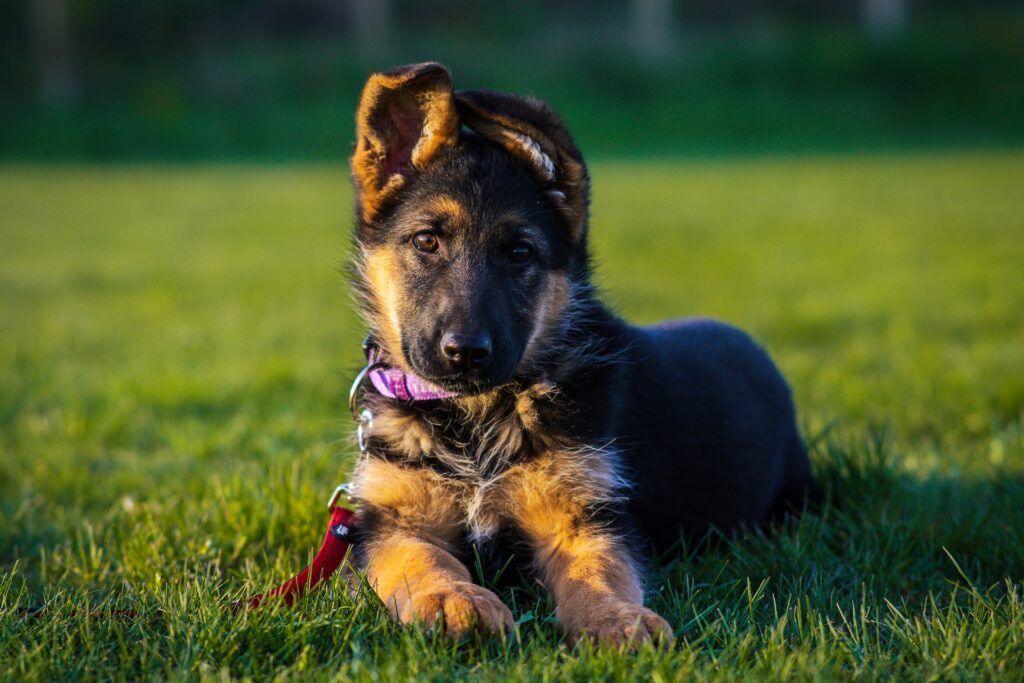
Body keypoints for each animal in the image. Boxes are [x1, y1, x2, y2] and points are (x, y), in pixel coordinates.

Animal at [348, 62, 819, 647]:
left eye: (520, 253)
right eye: (426, 242)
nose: (465, 354)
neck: (478, 418)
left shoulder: (584, 514)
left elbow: (597, 571)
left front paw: (615, 619)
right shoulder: (393, 521)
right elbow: (424, 562)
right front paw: (454, 600)